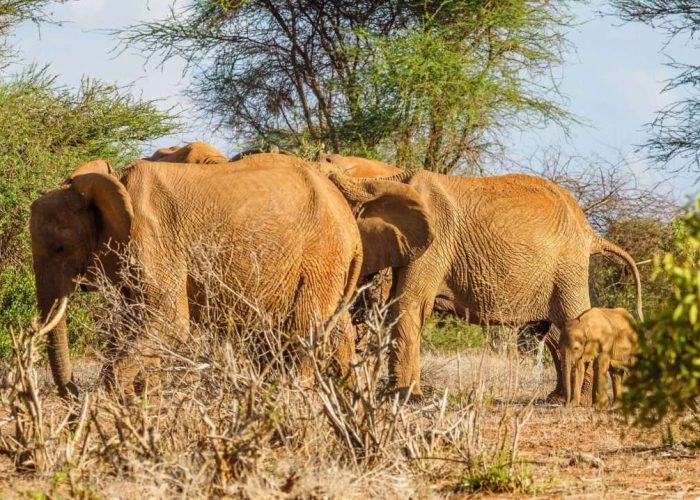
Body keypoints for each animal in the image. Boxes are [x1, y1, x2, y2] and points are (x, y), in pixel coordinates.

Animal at [29, 153, 434, 398]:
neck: (111, 184)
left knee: (303, 333)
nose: (71, 392)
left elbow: (166, 322)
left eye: (60, 249)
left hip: (320, 256)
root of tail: (349, 222)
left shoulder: (154, 239)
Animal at [329, 163, 644, 400]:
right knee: (553, 329)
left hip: (569, 266)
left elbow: (409, 304)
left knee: (572, 320)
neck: (377, 180)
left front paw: (402, 398)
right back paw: (558, 397)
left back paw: (581, 400)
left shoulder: (436, 241)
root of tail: (590, 232)